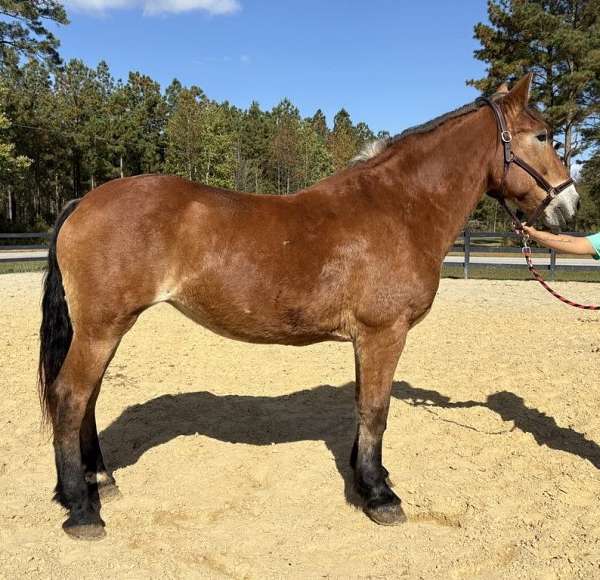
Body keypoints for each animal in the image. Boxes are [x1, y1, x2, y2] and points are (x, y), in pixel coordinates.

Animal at [36, 73, 576, 540]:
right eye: (543, 135)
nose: (568, 205)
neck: (398, 209)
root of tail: (84, 202)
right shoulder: (385, 333)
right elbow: (376, 409)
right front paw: (380, 496)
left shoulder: (367, 339)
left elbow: (362, 407)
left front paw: (369, 479)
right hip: (103, 327)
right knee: (71, 397)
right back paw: (82, 509)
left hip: (103, 330)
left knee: (87, 399)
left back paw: (99, 482)